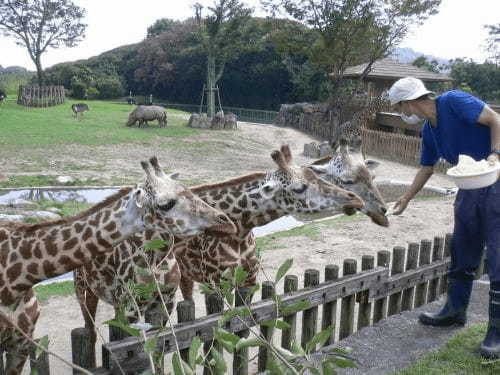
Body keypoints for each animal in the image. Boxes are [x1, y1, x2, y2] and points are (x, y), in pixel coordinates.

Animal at [0, 156, 233, 375]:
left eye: (189, 190)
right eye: (166, 204)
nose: (225, 222)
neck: (15, 280)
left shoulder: (165, 302)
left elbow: (159, 345)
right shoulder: (129, 307)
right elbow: (133, 350)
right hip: (83, 289)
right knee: (90, 329)